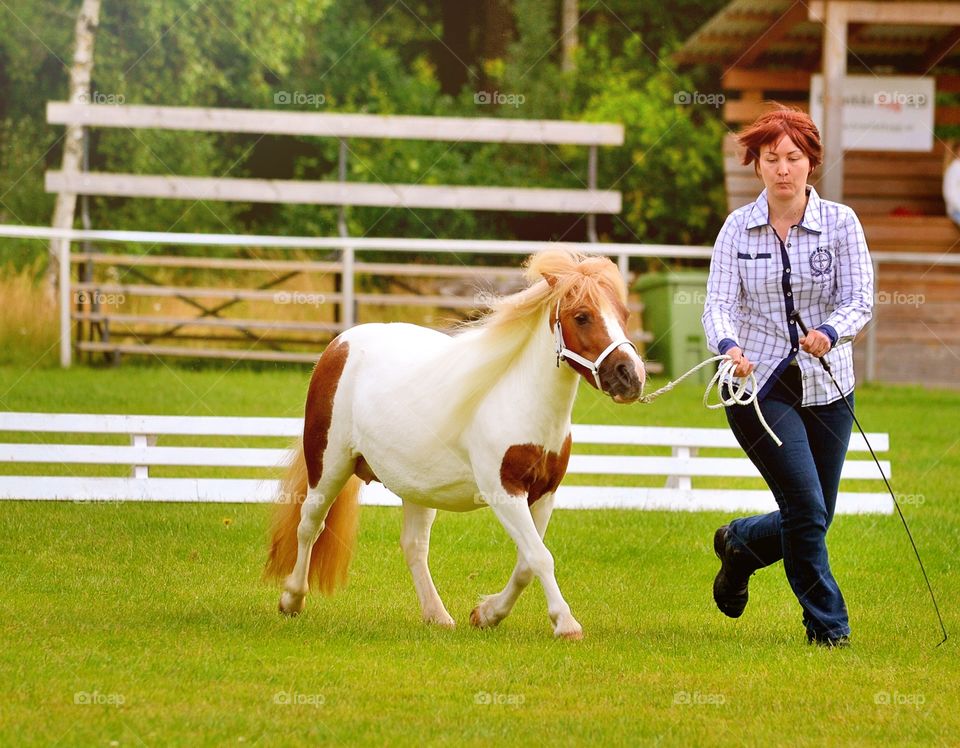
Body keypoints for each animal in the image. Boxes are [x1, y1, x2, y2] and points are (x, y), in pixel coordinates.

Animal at [264, 249, 646, 639]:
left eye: (624, 314)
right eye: (582, 316)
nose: (631, 376)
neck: (520, 399)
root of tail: (340, 344)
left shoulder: (545, 494)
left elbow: (527, 561)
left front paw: (487, 614)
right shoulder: (505, 492)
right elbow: (540, 557)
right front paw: (565, 623)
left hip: (416, 486)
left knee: (414, 546)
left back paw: (437, 615)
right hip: (328, 465)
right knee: (309, 524)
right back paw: (292, 599)